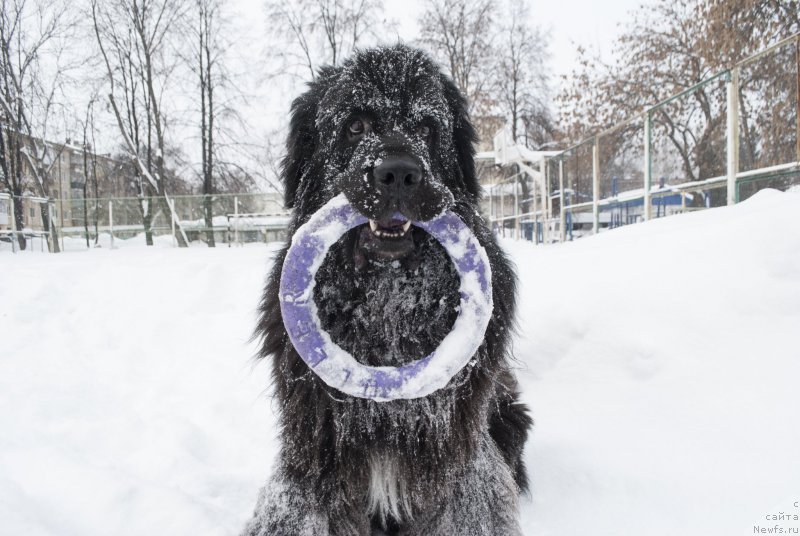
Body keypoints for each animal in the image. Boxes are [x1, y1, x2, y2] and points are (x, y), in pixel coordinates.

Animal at [244, 46, 532, 536]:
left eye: (426, 128)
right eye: (355, 125)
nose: (397, 173)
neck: (388, 307)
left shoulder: (457, 460)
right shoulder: (314, 454)